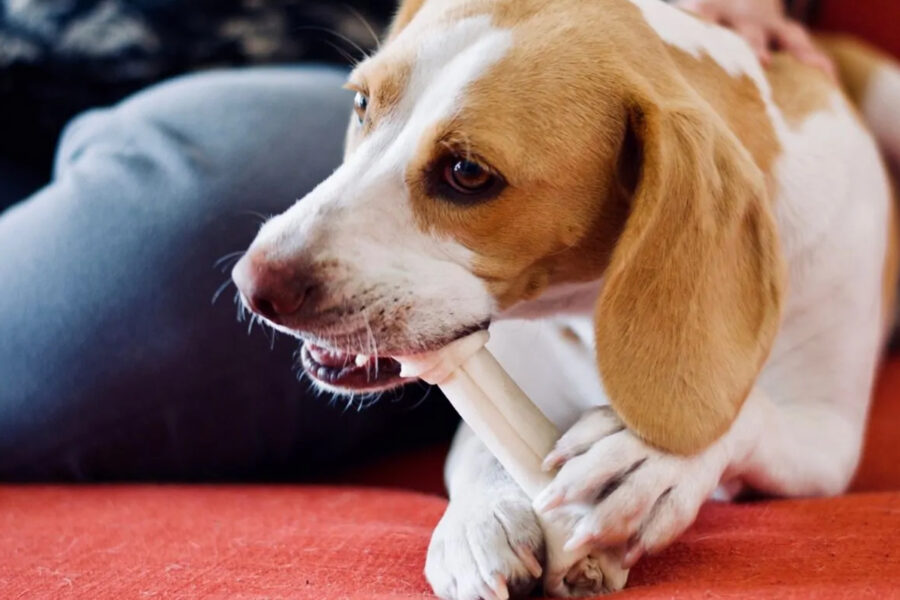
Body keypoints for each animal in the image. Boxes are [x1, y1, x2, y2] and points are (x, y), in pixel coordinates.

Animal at [232, 2, 900, 596]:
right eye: (361, 103)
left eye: (468, 173)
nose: (252, 283)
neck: (583, 309)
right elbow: (482, 448)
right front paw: (480, 519)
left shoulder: (828, 438)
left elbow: (745, 415)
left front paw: (649, 458)